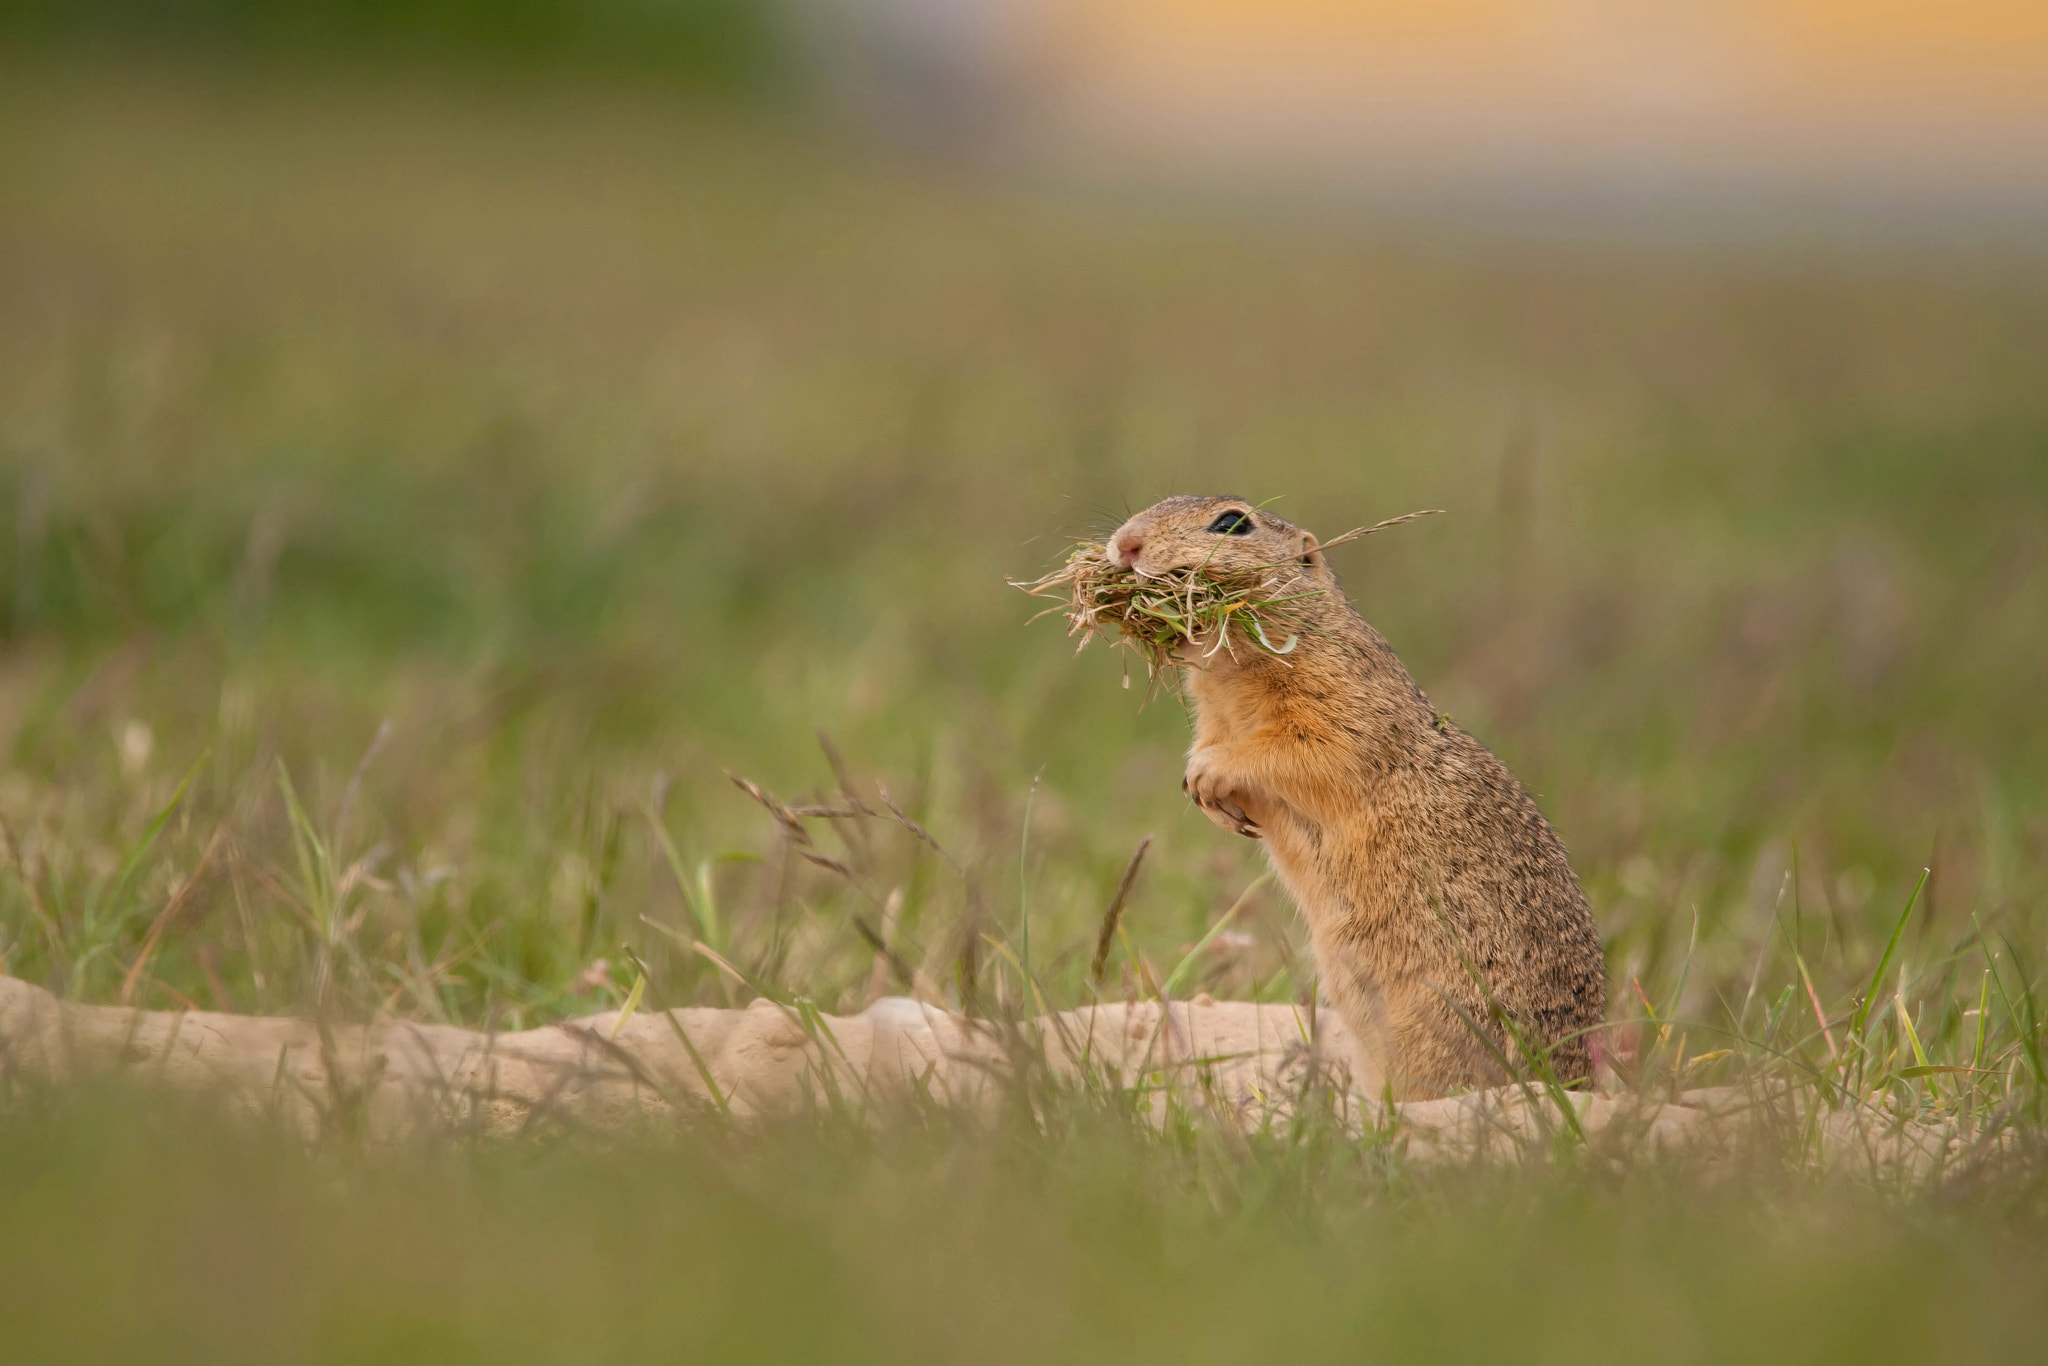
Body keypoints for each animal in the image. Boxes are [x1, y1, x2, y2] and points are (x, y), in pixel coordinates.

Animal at [1105, 497, 1597, 1097]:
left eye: (1232, 522)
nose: (1125, 544)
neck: (1230, 677)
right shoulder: (1215, 717)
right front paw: (1209, 798)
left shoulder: (1341, 702)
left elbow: (1304, 750)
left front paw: (1209, 773)